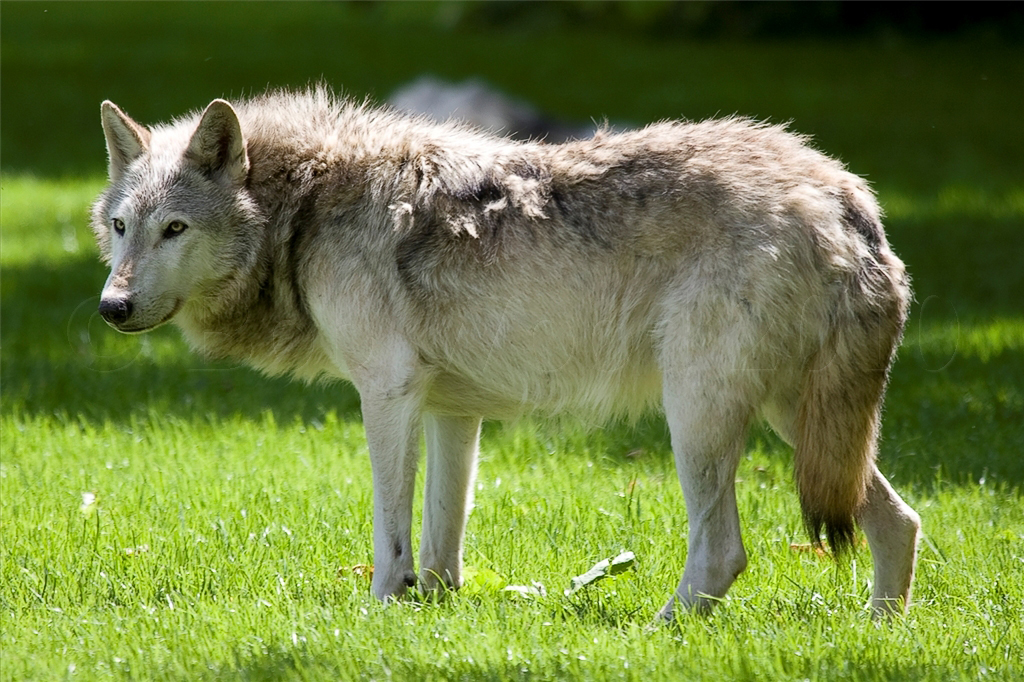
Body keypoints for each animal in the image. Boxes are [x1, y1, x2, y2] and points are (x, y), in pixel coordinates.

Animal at [92, 88, 920, 619]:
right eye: (122, 227)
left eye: (175, 230)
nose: (111, 308)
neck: (307, 207)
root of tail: (846, 194)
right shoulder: (451, 412)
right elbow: (442, 538)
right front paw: (433, 613)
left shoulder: (386, 393)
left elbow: (390, 536)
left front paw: (377, 615)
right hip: (801, 424)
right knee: (901, 522)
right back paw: (879, 631)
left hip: (698, 416)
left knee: (723, 554)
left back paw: (655, 635)